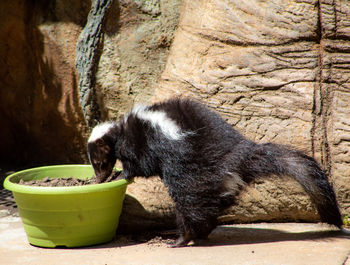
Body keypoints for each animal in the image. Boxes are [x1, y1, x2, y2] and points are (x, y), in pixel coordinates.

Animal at [86, 98, 344, 246]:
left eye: (99, 162)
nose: (98, 178)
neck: (119, 129)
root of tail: (239, 156)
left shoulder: (144, 141)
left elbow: (140, 164)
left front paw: (122, 174)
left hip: (193, 174)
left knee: (191, 206)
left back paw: (182, 239)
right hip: (216, 183)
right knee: (208, 209)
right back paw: (199, 234)